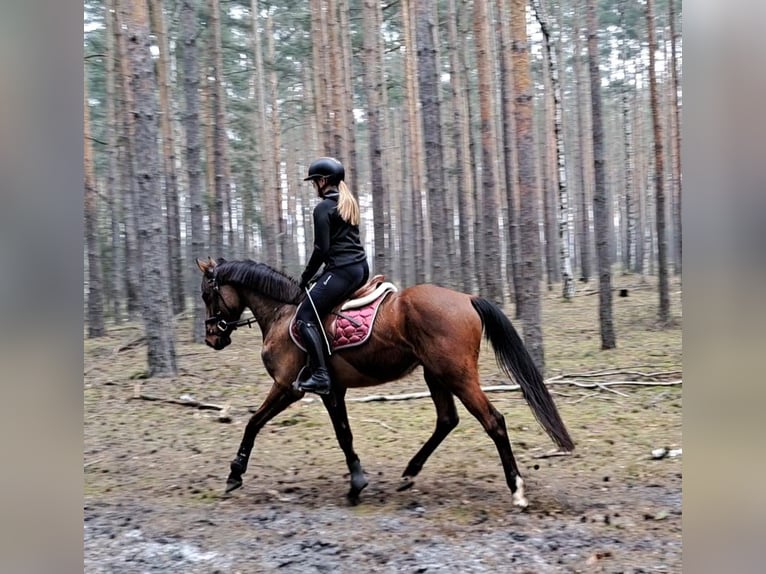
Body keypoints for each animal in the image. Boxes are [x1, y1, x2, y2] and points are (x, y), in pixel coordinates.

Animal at [198, 258, 576, 508]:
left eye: (206, 294)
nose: (212, 339)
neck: (284, 313)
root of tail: (467, 299)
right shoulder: (332, 390)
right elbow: (344, 434)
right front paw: (357, 484)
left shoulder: (286, 386)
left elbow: (253, 422)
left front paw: (234, 475)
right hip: (435, 374)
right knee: (446, 420)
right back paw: (410, 472)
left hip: (457, 375)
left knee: (493, 422)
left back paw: (517, 489)